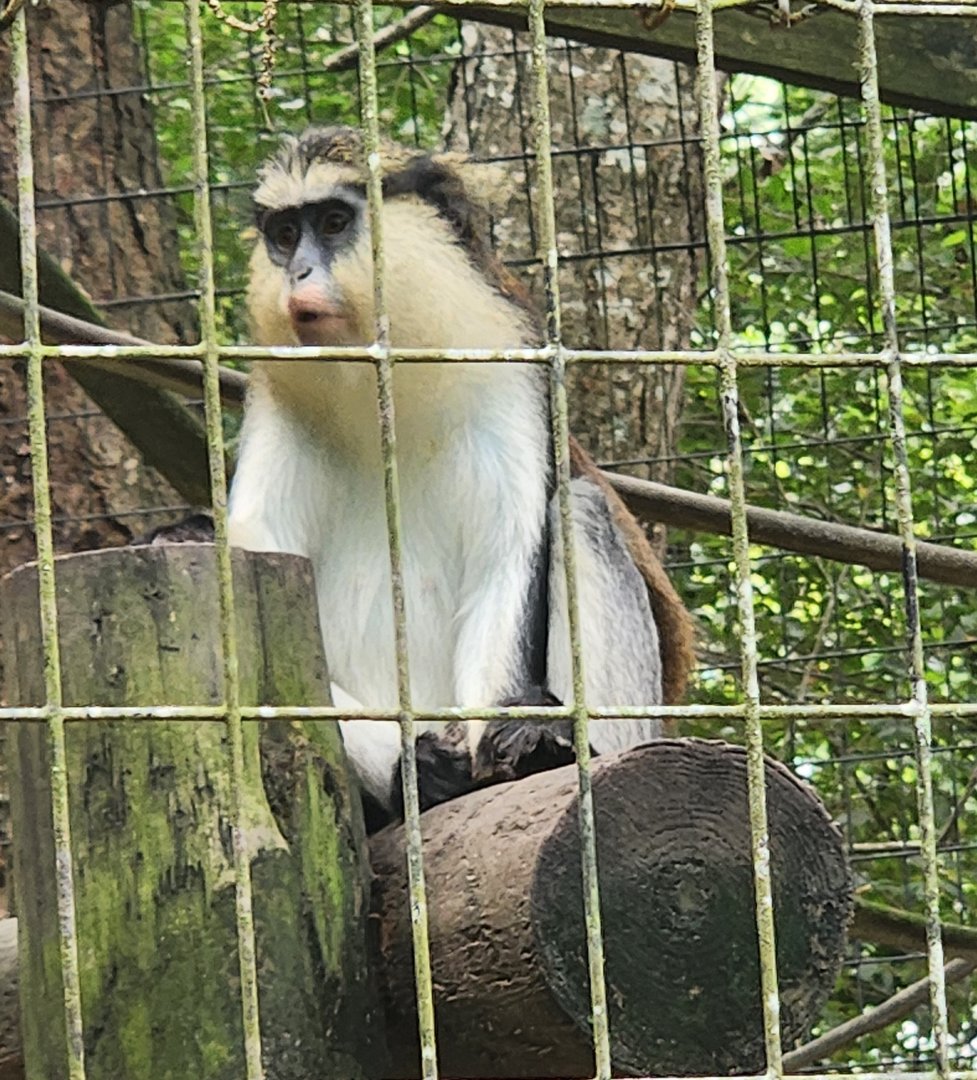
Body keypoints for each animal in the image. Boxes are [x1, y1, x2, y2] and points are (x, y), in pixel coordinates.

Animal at [228, 126, 695, 824]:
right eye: (285, 235)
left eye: (334, 222)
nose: (299, 274)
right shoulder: (279, 403)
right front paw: (419, 766)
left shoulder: (507, 365)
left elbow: (504, 566)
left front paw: (517, 741)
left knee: (581, 507)